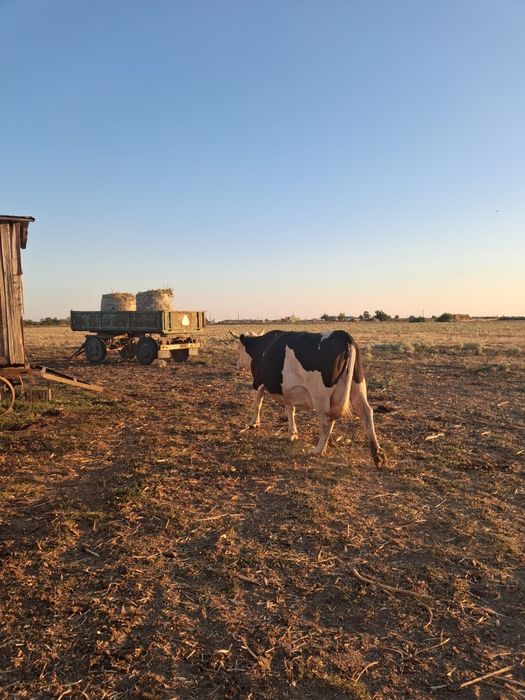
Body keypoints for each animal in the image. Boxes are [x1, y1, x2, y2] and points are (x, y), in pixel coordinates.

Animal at [230, 329, 387, 468]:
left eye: (239, 348)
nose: (236, 364)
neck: (260, 347)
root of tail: (342, 335)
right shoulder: (288, 391)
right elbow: (290, 410)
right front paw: (292, 433)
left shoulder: (257, 382)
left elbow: (257, 404)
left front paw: (253, 423)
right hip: (357, 386)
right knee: (366, 413)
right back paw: (378, 455)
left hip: (321, 397)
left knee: (327, 422)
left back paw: (318, 450)